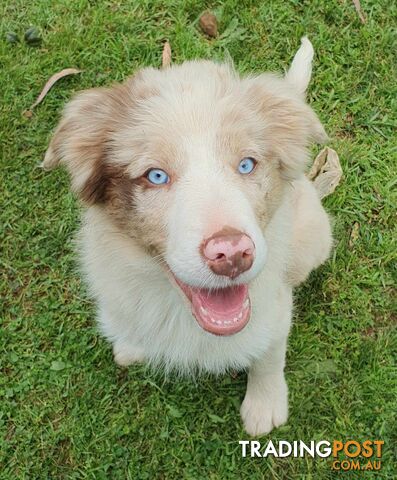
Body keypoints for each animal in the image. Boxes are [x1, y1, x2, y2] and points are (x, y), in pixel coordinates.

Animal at [44, 37, 332, 436]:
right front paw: (131, 344)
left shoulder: (275, 307)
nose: (232, 254)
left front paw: (265, 405)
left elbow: (269, 354)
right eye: (156, 176)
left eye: (246, 164)